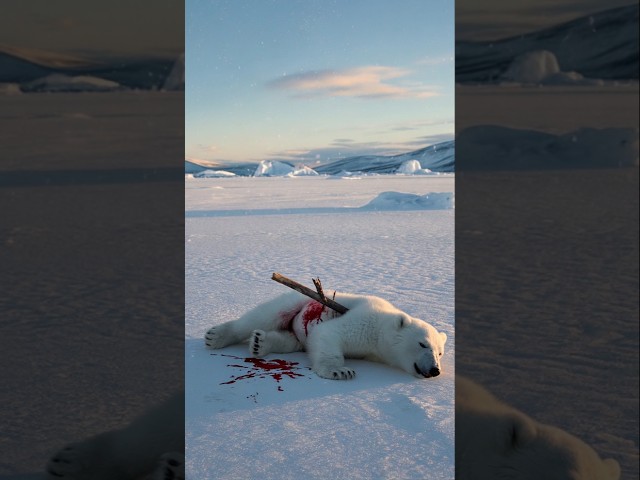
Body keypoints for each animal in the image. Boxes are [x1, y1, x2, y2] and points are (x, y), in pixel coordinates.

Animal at [204, 290, 444, 380]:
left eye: (440, 353)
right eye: (422, 344)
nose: (435, 370)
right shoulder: (364, 320)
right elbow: (328, 333)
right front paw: (340, 371)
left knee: (289, 340)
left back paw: (259, 343)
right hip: (296, 301)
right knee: (261, 317)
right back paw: (216, 336)